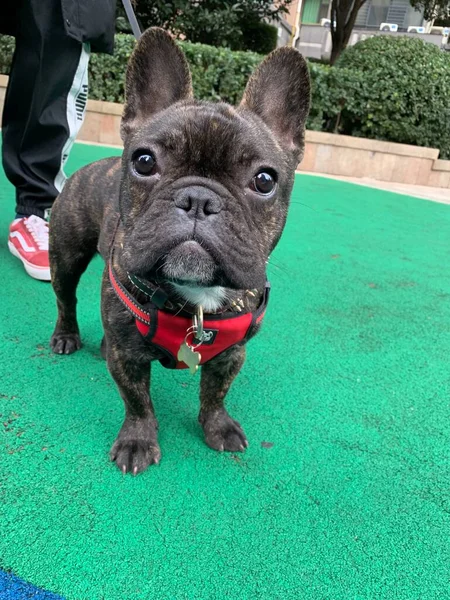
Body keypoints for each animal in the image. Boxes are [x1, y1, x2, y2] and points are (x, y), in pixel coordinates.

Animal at [49, 27, 310, 474]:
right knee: (66, 299)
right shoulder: (128, 359)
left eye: (264, 180)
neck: (197, 301)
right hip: (65, 257)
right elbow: (137, 402)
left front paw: (218, 427)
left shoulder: (231, 354)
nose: (198, 199)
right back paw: (66, 337)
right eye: (144, 161)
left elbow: (216, 393)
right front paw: (138, 441)